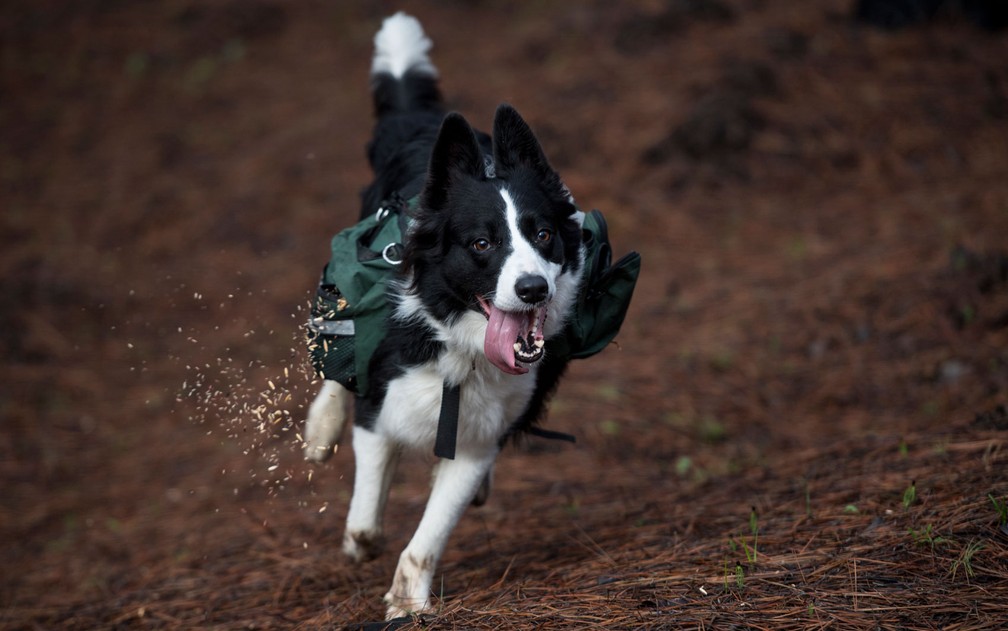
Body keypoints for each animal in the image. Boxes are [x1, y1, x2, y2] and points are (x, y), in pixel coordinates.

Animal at [306, 12, 588, 616]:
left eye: (543, 234)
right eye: (482, 244)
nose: (532, 289)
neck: (461, 345)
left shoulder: (476, 442)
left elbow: (428, 534)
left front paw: (406, 602)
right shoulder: (380, 407)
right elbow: (365, 519)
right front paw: (362, 546)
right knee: (338, 349)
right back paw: (319, 428)